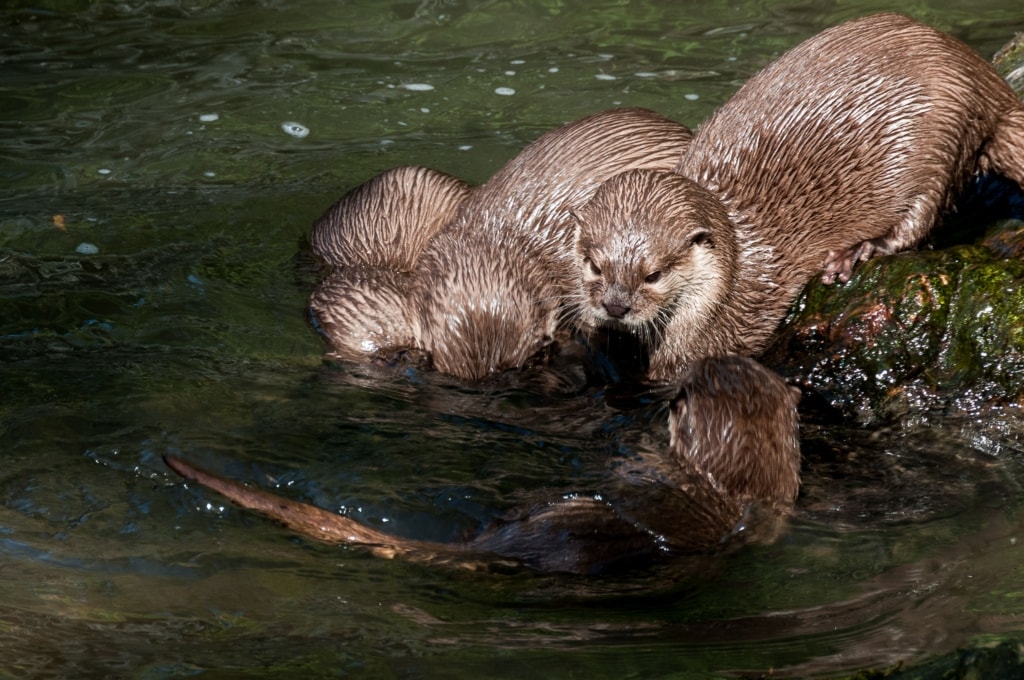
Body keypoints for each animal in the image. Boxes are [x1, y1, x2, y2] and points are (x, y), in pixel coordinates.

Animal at [573, 13, 1024, 383]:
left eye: (654, 275)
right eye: (594, 265)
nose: (615, 307)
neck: (734, 274)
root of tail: (986, 82)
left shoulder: (718, 332)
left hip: (939, 140)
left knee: (922, 218)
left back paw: (858, 252)